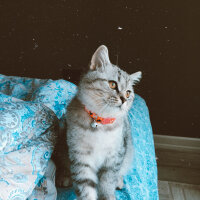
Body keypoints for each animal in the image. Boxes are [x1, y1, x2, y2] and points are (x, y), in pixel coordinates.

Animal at [65, 45, 141, 200]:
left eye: (128, 93)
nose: (124, 99)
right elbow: (86, 188)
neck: (101, 123)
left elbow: (108, 181)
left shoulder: (115, 157)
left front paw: (109, 195)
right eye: (112, 84)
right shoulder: (80, 158)